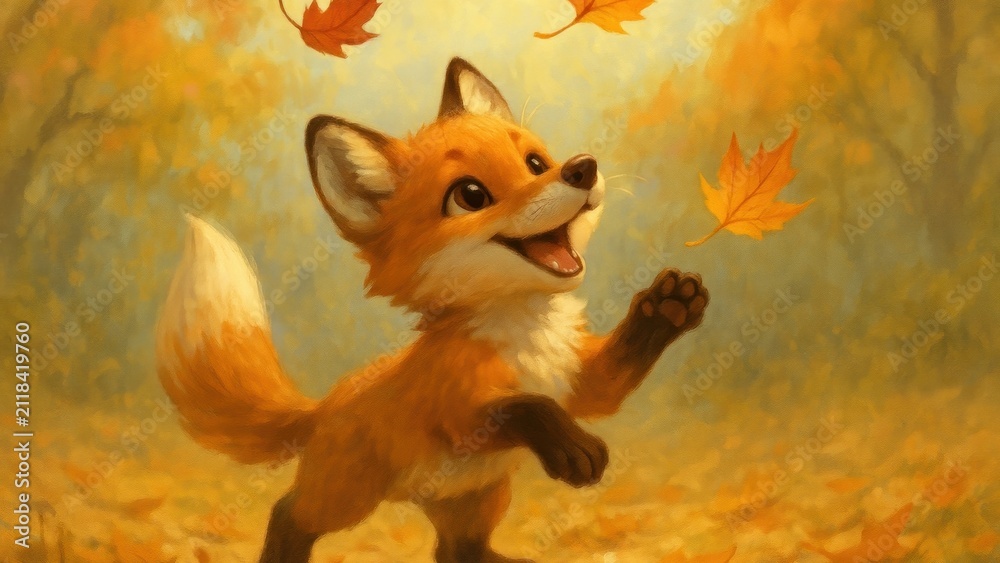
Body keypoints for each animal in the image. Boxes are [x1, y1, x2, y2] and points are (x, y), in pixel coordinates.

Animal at [156, 58, 709, 563]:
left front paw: (669, 306)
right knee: (289, 514)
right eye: (470, 196)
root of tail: (325, 405)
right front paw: (573, 448)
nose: (582, 167)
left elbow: (609, 380)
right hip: (345, 496)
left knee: (456, 551)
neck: (527, 334)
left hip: (478, 497)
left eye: (535, 163)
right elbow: (528, 406)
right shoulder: (461, 415)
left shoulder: (580, 379)